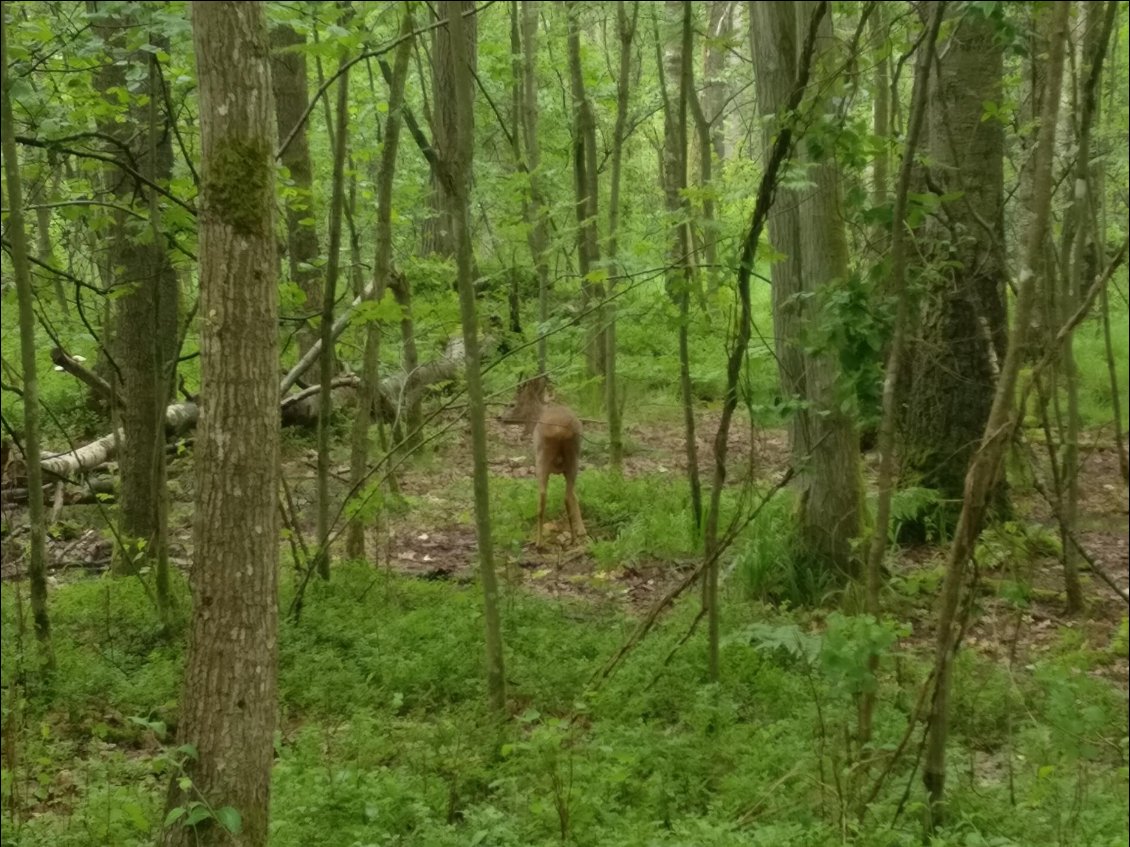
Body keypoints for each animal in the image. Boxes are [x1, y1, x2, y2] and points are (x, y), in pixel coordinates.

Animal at [499, 372, 587, 546]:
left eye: (512, 404)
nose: (499, 417)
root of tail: (561, 431)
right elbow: (575, 495)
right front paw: (582, 530)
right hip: (574, 459)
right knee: (567, 495)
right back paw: (573, 537)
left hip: (541, 460)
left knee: (542, 498)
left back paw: (539, 542)